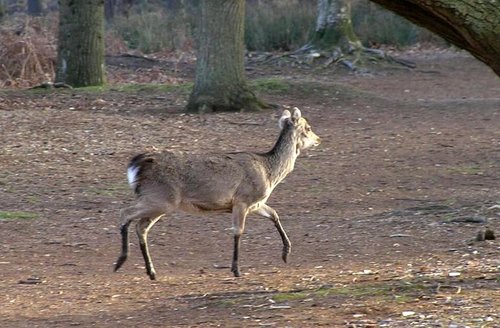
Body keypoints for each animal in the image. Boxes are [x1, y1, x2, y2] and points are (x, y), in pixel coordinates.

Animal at [113, 107, 320, 280]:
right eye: (308, 127)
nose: (319, 139)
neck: (269, 173)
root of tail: (137, 165)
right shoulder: (242, 200)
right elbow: (238, 231)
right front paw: (236, 269)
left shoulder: (256, 204)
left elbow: (274, 214)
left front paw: (286, 253)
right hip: (161, 198)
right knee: (125, 213)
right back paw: (120, 261)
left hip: (158, 201)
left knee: (141, 227)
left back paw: (151, 272)